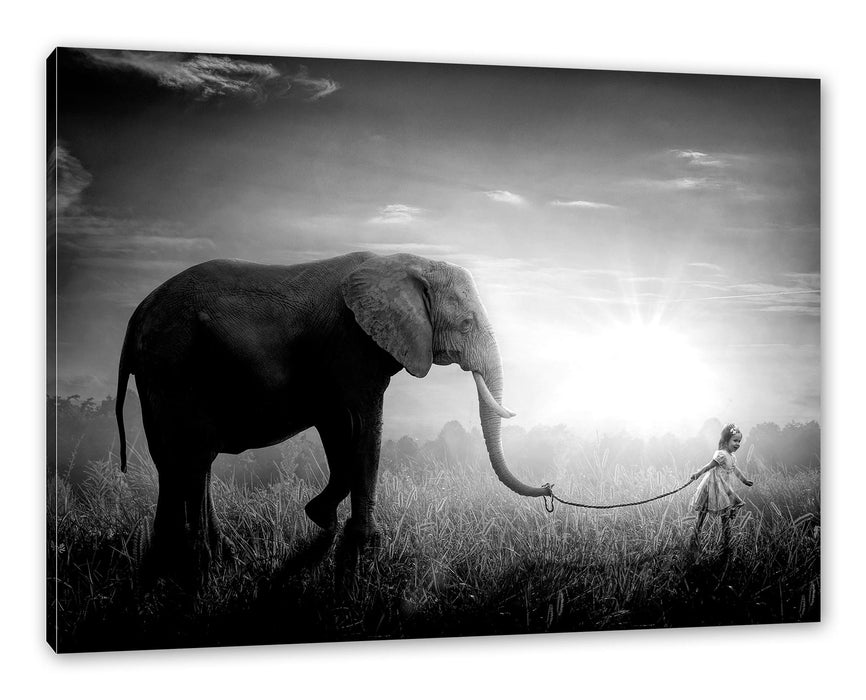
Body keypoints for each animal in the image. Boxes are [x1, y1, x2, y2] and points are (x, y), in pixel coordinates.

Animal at [115, 251, 552, 573]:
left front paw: (322, 520)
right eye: (465, 323)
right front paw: (364, 546)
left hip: (161, 372)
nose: (548, 489)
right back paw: (196, 564)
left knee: (179, 460)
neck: (407, 261)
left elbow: (339, 428)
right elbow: (363, 427)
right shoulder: (352, 344)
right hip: (176, 363)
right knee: (191, 456)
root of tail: (138, 312)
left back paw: (183, 559)